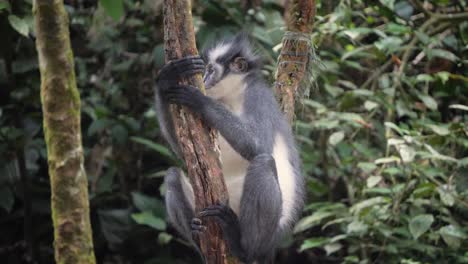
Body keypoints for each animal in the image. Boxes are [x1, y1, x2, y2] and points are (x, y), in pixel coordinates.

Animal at [155, 34, 306, 262]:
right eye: (205, 71)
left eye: (211, 70)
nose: (204, 81)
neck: (233, 97)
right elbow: (184, 152)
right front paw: (165, 80)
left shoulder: (257, 97)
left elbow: (258, 146)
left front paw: (199, 99)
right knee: (172, 174)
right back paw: (197, 236)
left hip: (269, 231)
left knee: (263, 162)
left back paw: (243, 247)